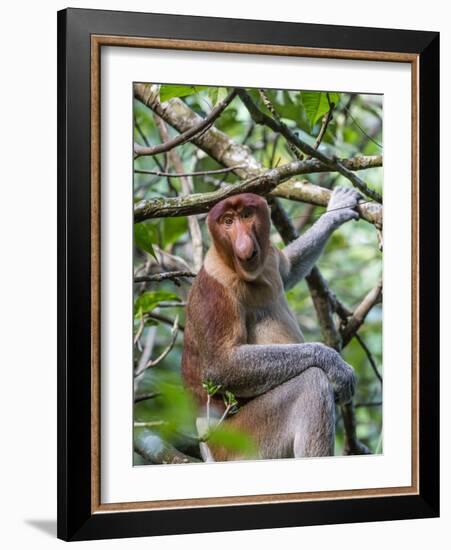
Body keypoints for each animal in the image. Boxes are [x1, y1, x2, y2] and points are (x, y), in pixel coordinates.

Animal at [182, 188, 362, 460]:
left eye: (247, 215)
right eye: (227, 222)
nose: (244, 245)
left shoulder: (271, 260)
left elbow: (288, 269)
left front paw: (336, 210)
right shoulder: (214, 292)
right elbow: (221, 365)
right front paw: (335, 364)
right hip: (241, 440)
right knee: (311, 383)